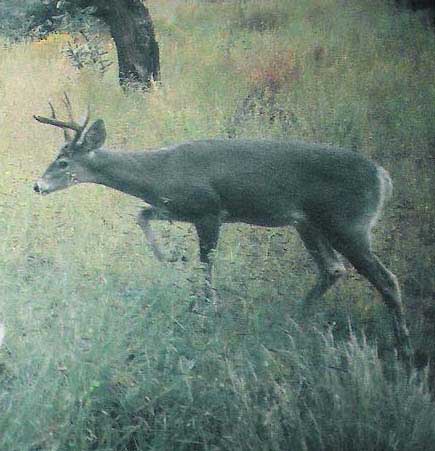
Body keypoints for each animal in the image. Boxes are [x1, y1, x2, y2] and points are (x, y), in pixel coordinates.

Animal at [34, 96, 412, 364]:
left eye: (63, 162)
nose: (37, 186)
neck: (159, 173)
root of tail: (383, 177)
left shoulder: (210, 210)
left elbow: (206, 263)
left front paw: (205, 307)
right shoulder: (178, 208)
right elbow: (142, 216)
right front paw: (170, 257)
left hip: (348, 223)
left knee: (386, 279)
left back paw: (403, 347)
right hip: (309, 223)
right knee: (333, 269)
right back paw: (294, 319)